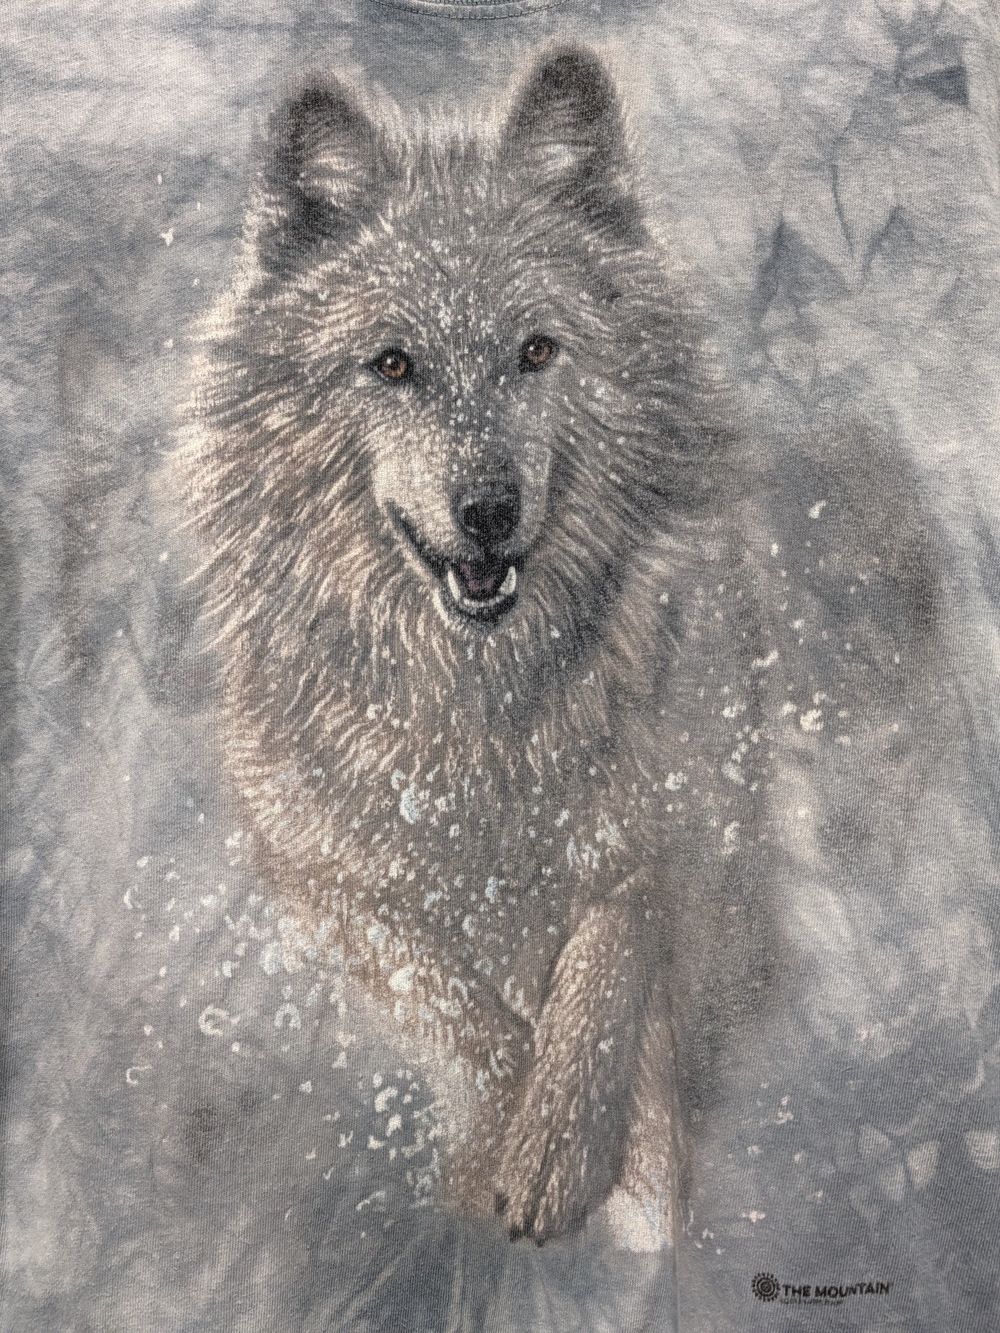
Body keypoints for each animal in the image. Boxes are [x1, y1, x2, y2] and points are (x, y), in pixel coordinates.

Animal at [179, 47, 939, 1244]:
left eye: (536, 350)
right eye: (391, 365)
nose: (488, 510)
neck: (478, 713)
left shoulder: (670, 828)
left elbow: (600, 972)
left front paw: (573, 1159)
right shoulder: (325, 876)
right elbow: (459, 1006)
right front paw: (501, 1149)